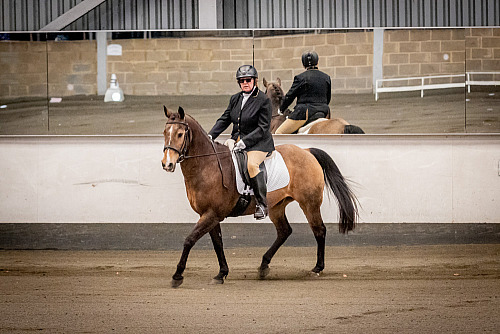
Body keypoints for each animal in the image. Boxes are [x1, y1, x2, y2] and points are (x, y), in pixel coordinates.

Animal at [162, 105, 358, 288]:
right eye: (165, 132)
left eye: (180, 134)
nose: (167, 164)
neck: (207, 166)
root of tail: (307, 151)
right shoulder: (209, 214)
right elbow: (217, 243)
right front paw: (221, 274)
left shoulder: (212, 214)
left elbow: (189, 240)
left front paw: (177, 276)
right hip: (277, 206)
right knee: (284, 231)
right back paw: (263, 266)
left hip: (309, 203)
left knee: (319, 230)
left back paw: (317, 268)